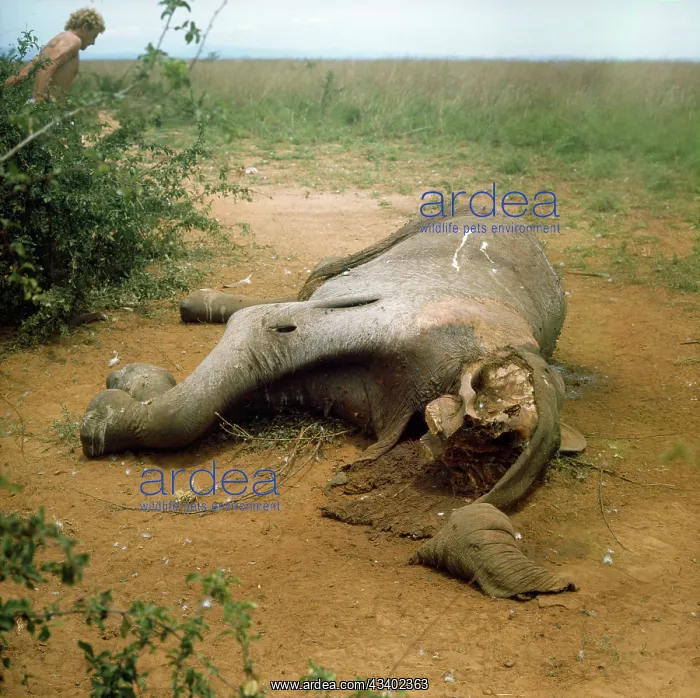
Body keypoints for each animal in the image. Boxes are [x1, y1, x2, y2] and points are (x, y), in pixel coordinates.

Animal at [80, 212, 583, 597]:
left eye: (488, 459)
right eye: (492, 426)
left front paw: (126, 394)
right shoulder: (417, 322)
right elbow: (260, 327)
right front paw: (105, 411)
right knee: (318, 278)